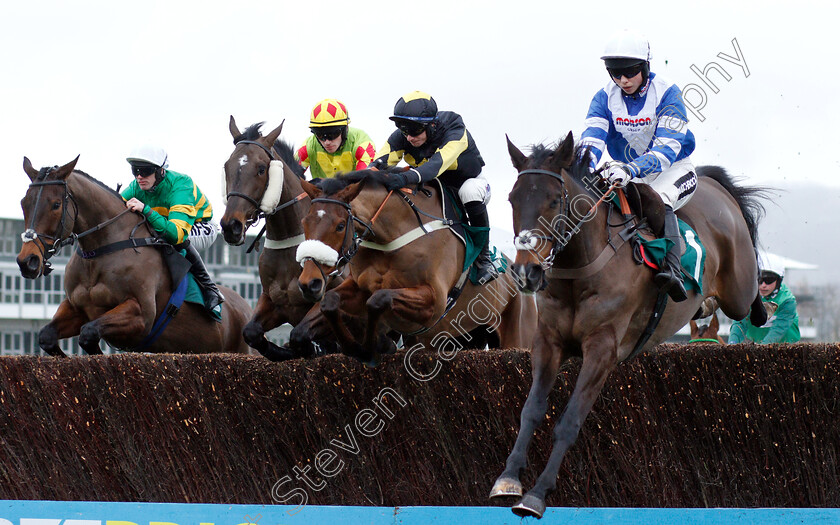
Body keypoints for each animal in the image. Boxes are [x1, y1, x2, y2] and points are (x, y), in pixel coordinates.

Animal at [16, 154, 251, 354]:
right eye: (23, 203)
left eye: (56, 205)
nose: (27, 261)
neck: (102, 251)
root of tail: (246, 307)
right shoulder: (77, 308)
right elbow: (46, 336)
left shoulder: (141, 315)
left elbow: (88, 333)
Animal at [223, 116, 342, 358]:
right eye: (226, 166)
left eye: (261, 169)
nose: (231, 225)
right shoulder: (272, 301)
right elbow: (252, 333)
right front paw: (287, 350)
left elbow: (302, 333)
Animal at [488, 133, 772, 516]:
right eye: (512, 199)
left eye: (553, 200)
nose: (525, 271)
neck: (582, 270)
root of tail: (714, 184)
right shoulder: (548, 343)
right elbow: (531, 410)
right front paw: (508, 479)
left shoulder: (602, 349)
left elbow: (569, 422)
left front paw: (536, 495)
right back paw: (703, 305)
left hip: (738, 289)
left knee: (751, 297)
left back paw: (762, 306)